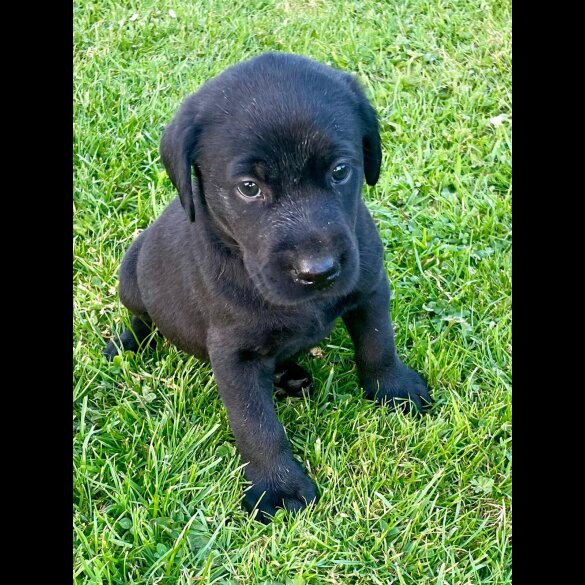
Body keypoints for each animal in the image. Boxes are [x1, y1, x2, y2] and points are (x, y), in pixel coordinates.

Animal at [105, 52, 432, 524]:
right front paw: (277, 487)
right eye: (248, 188)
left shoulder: (369, 288)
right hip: (130, 273)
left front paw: (393, 389)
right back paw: (127, 342)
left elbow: (378, 343)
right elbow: (256, 424)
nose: (318, 271)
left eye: (340, 171)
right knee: (141, 317)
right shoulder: (234, 354)